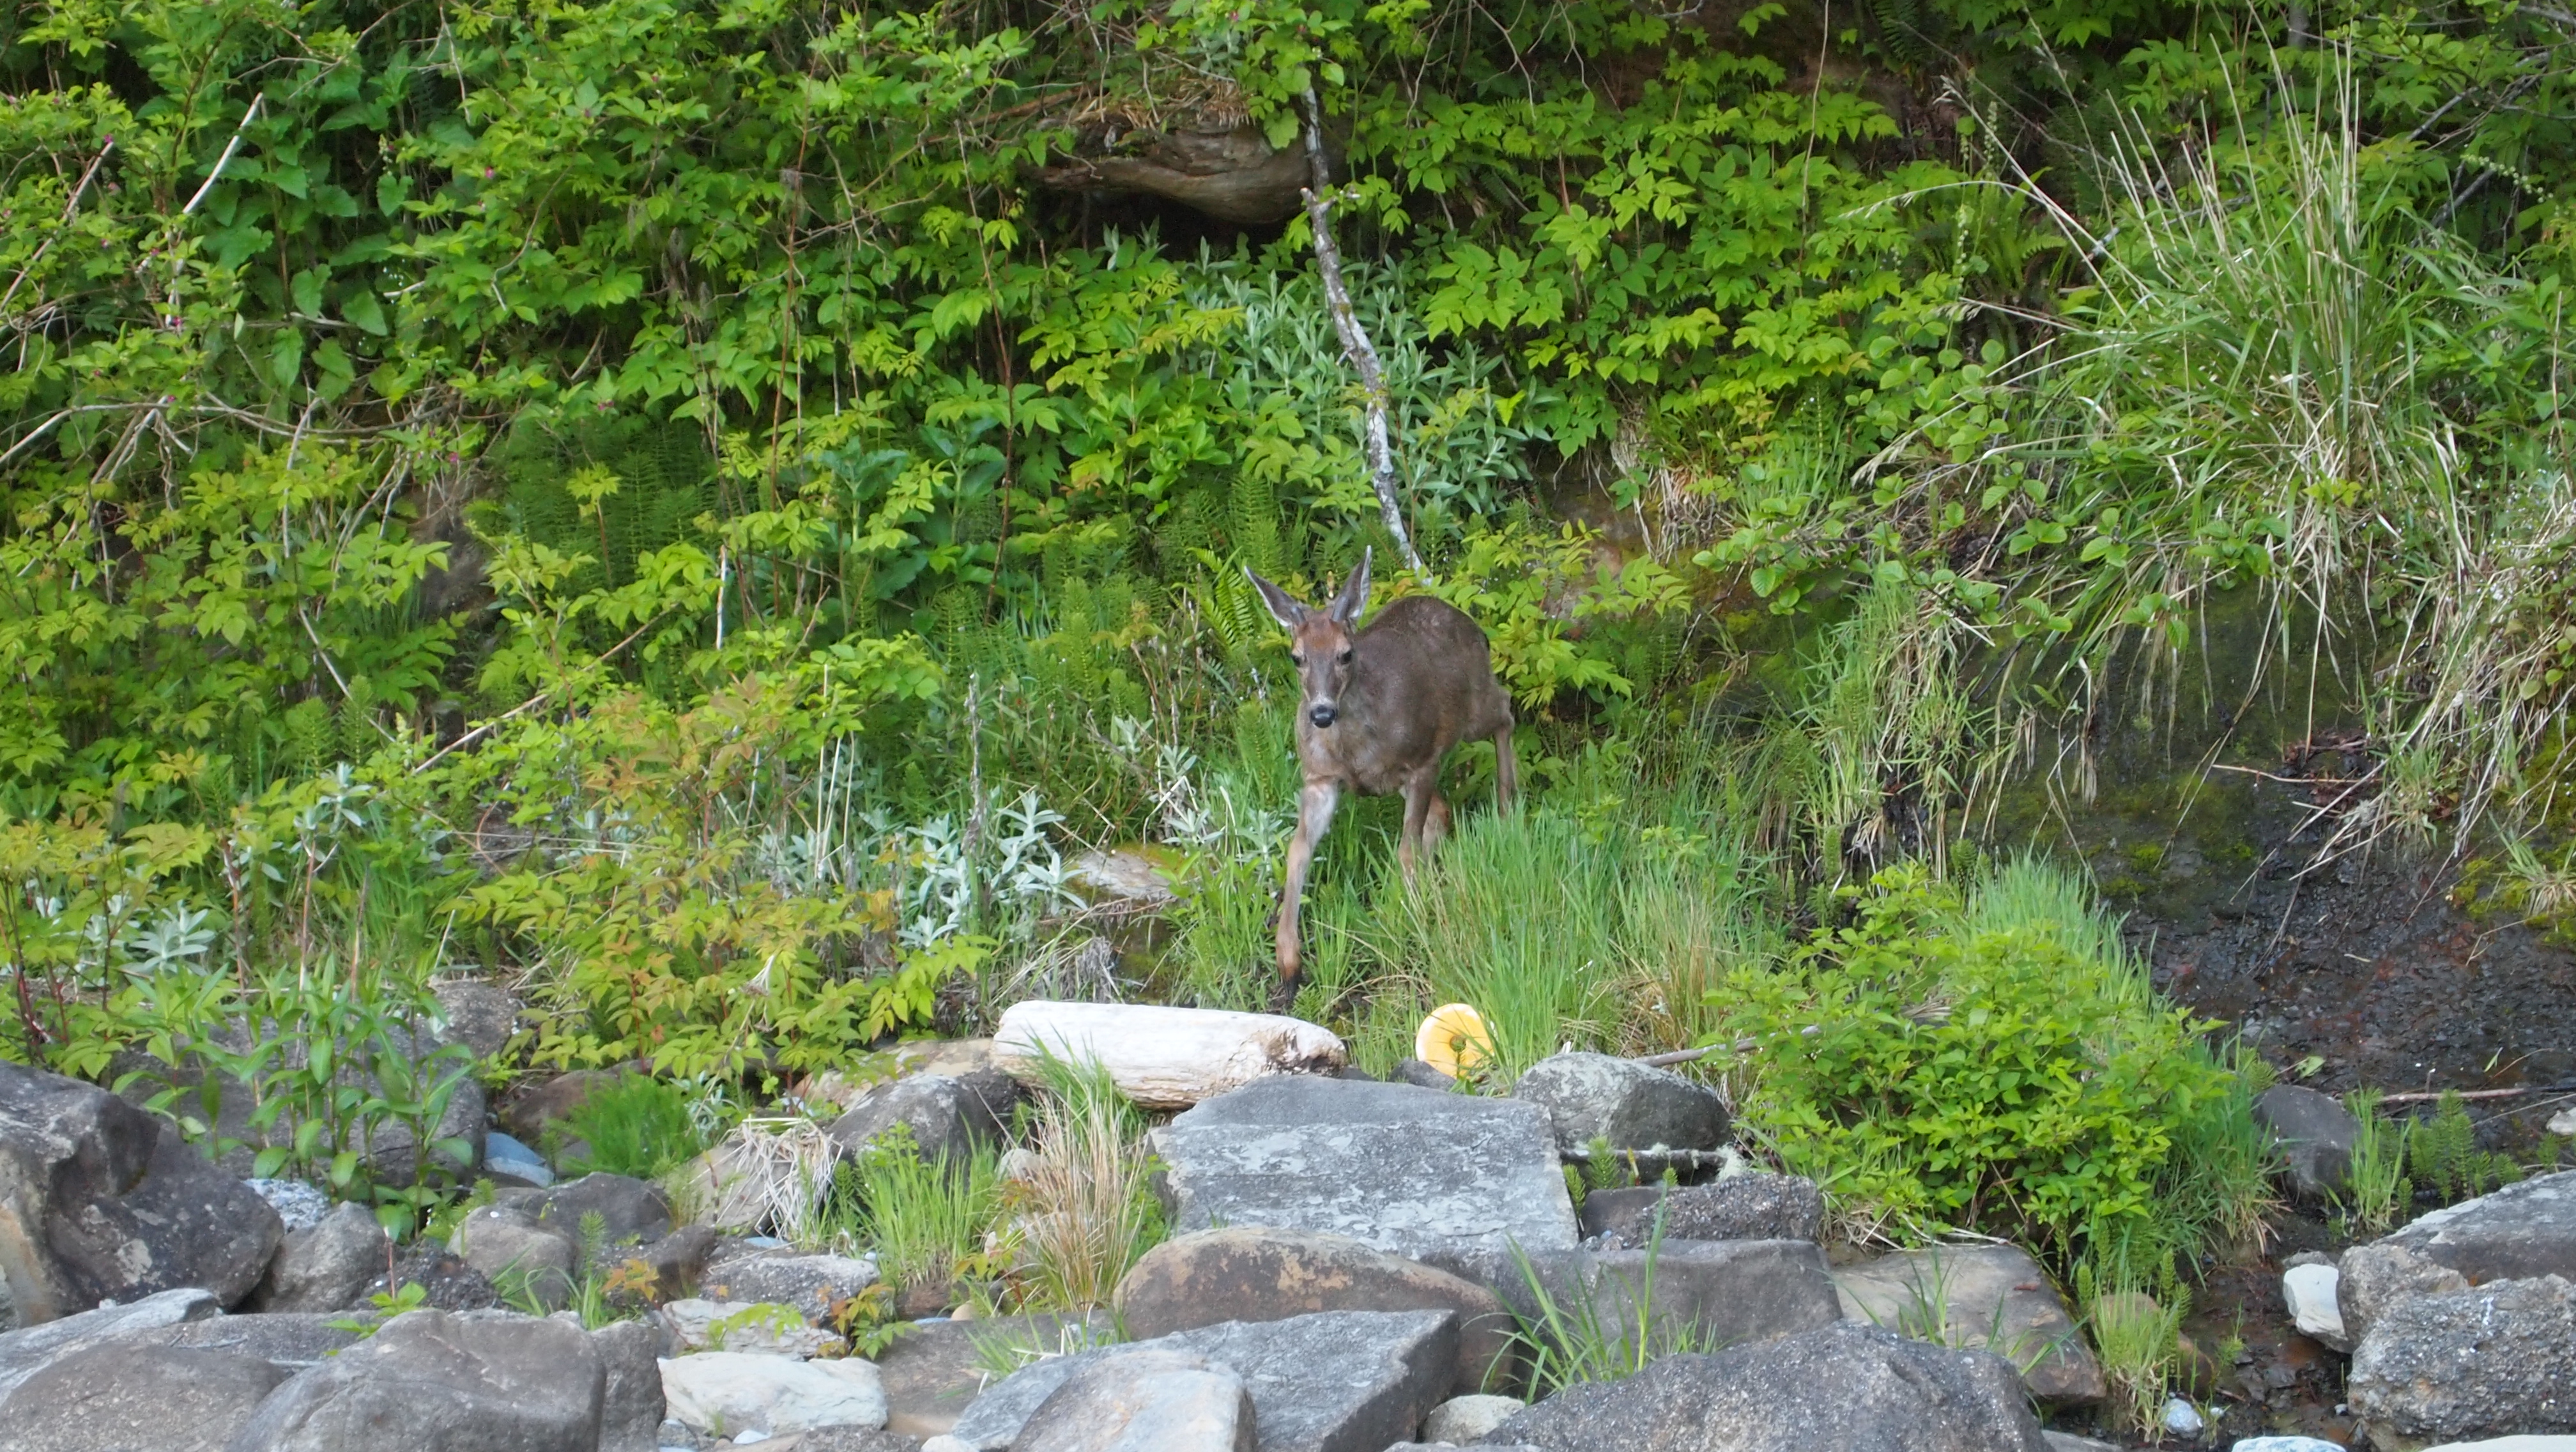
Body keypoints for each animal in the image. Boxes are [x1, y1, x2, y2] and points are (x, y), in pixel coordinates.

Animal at [1246, 548, 1517, 1008]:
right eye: (1297, 657)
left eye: (1345, 654)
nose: (1322, 713)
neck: (1355, 750)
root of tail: (1472, 625)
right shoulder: (1320, 779)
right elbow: (1297, 850)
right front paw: (1289, 965)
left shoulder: (1423, 761)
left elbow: (1405, 850)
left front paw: (1416, 922)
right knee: (1443, 810)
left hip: (1470, 713)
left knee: (1505, 707)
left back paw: (1506, 806)